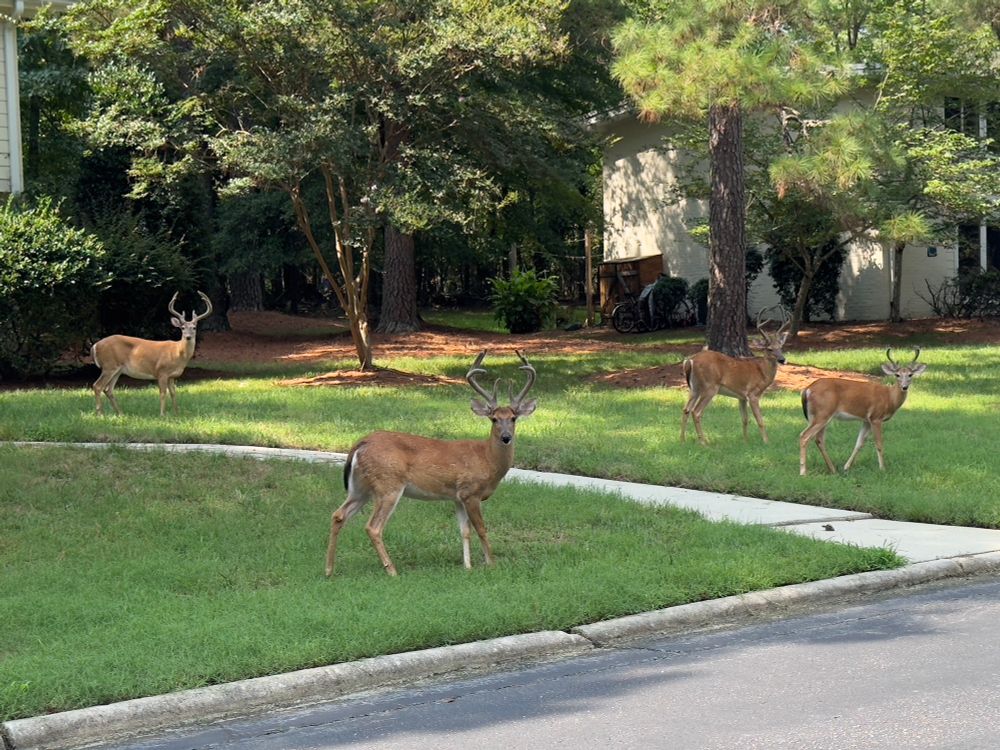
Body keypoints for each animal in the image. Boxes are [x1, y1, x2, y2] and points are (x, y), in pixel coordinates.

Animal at [325, 351, 537, 577]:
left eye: (513, 418)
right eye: (494, 419)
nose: (506, 437)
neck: (487, 459)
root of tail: (360, 443)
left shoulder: (457, 496)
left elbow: (464, 531)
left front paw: (468, 566)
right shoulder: (470, 492)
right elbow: (481, 529)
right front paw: (491, 563)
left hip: (360, 487)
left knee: (338, 515)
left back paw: (329, 569)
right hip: (388, 484)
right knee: (373, 527)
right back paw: (392, 570)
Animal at [680, 306, 791, 445]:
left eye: (781, 347)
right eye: (769, 348)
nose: (782, 359)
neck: (762, 373)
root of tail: (690, 360)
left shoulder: (741, 397)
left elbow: (745, 419)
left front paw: (746, 441)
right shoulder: (753, 394)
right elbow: (760, 420)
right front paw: (766, 442)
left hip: (694, 388)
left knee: (686, 410)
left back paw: (682, 440)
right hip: (710, 387)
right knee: (696, 412)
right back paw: (704, 442)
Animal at [799, 347, 927, 476]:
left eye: (910, 375)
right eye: (897, 375)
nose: (904, 387)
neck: (889, 397)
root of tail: (807, 389)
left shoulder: (866, 420)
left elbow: (859, 443)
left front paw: (846, 467)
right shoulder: (876, 417)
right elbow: (879, 443)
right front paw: (882, 468)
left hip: (818, 416)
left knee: (819, 439)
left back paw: (833, 469)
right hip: (823, 413)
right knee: (804, 436)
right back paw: (803, 471)